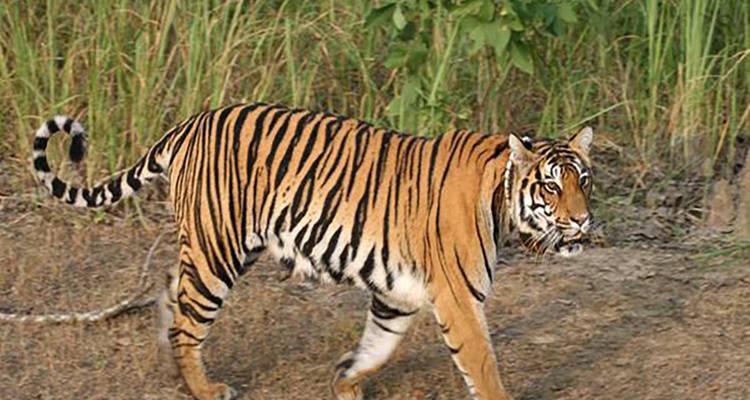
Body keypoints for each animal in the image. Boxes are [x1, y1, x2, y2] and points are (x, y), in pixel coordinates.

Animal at [29, 103, 594, 400]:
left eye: (583, 181)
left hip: (217, 247)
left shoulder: (398, 294)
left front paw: (345, 381)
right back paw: (205, 388)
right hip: (218, 253)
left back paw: (174, 369)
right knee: (188, 321)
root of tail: (191, 122)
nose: (583, 220)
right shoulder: (457, 297)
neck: (499, 199)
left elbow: (379, 344)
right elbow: (482, 364)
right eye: (550, 187)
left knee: (171, 291)